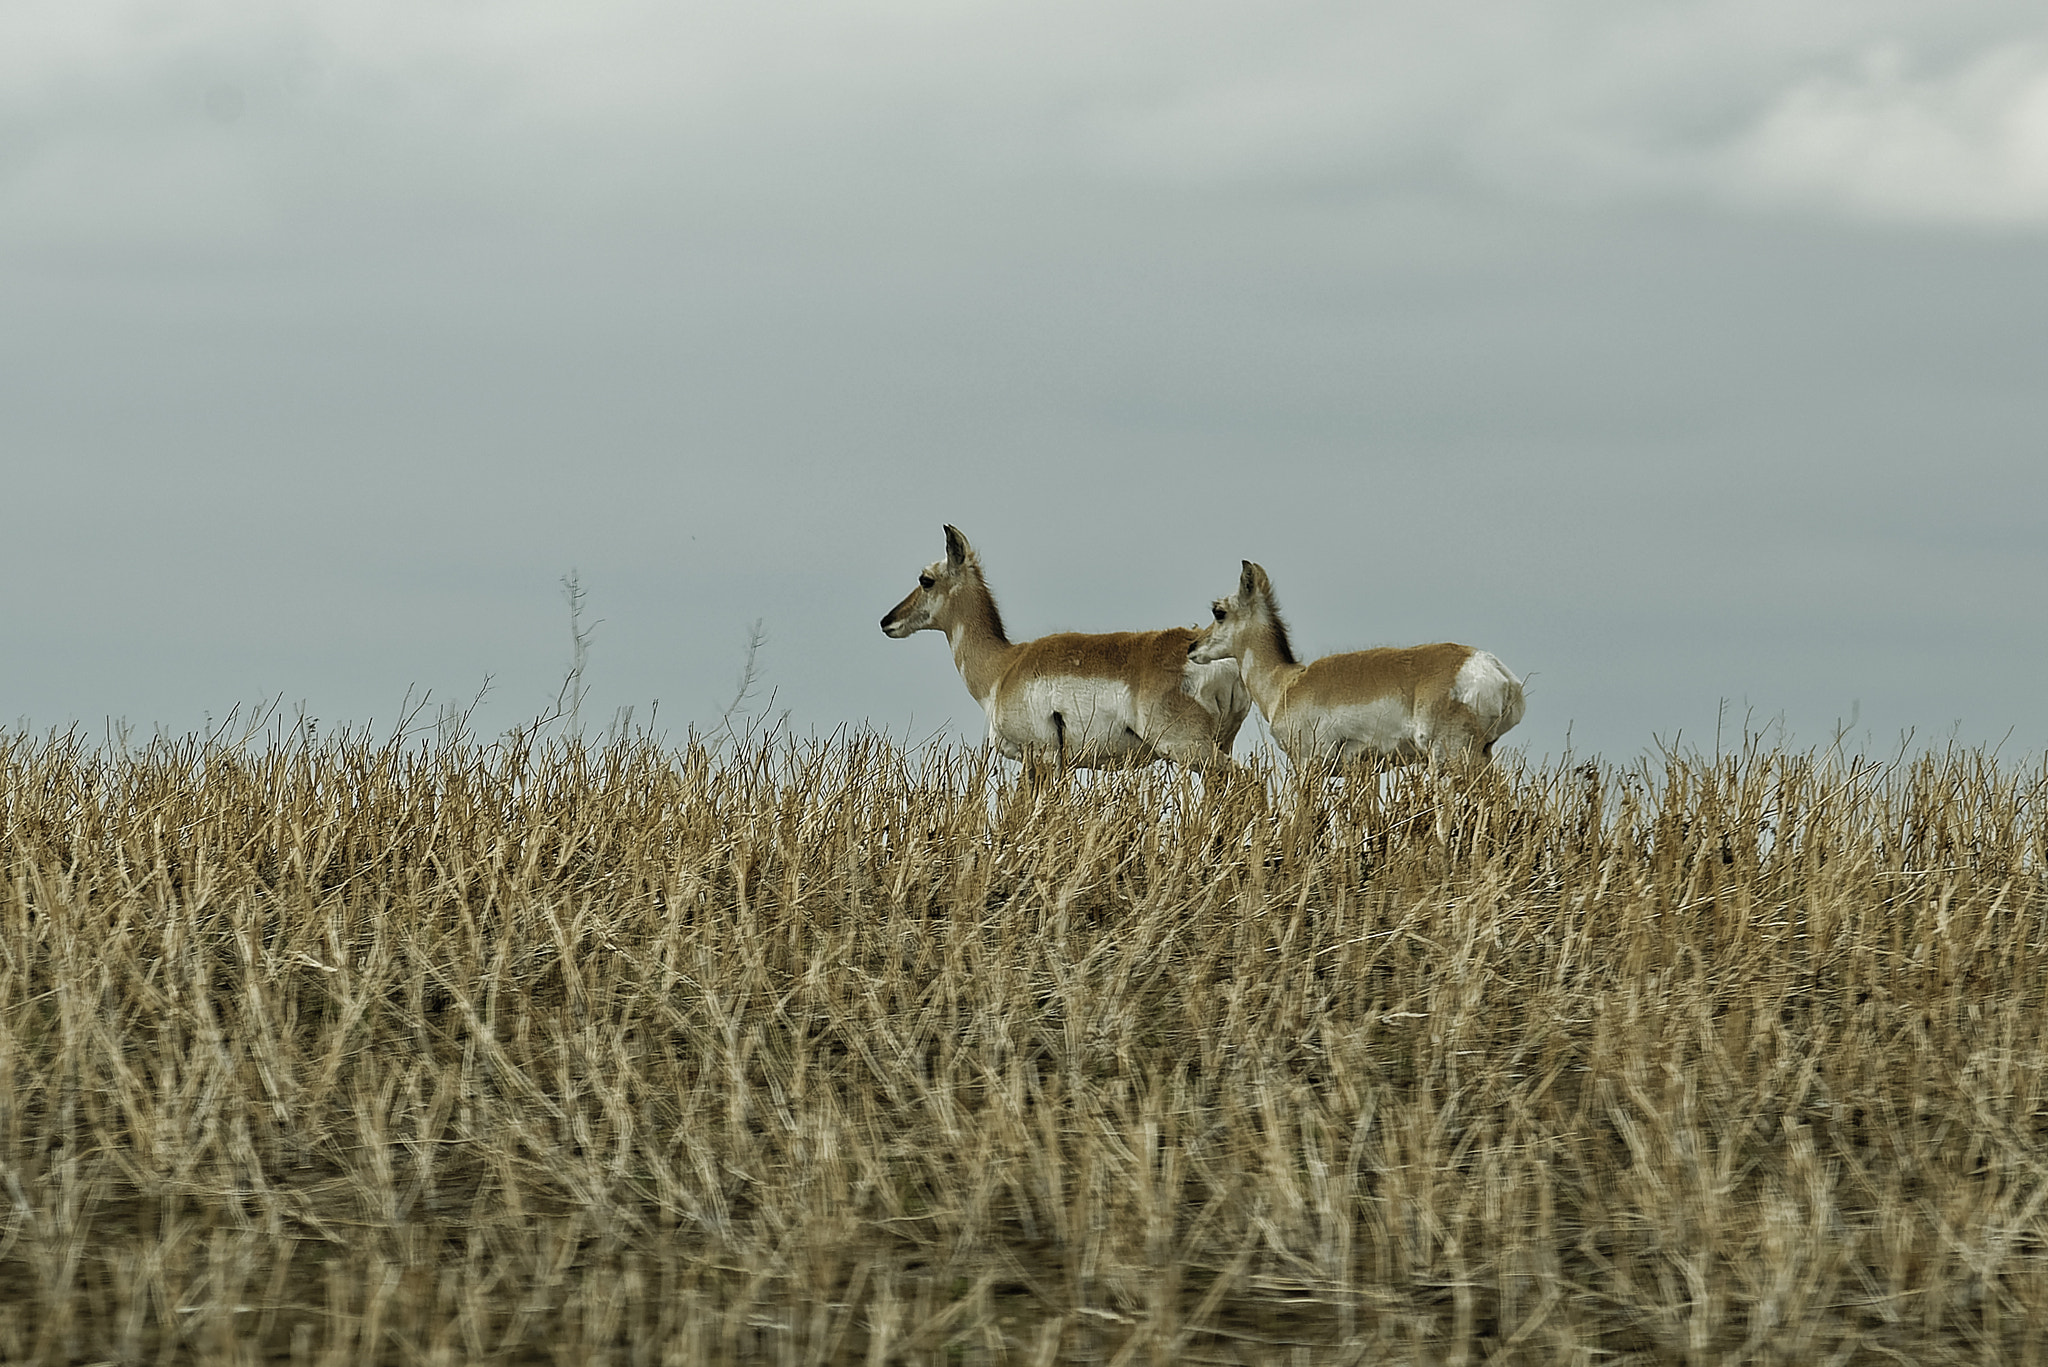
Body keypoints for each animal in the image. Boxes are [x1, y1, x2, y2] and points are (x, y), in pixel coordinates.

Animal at [880, 528, 1245, 770]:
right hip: (1219, 745)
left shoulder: (1041, 757)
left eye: (925, 580)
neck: (1005, 666)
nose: (887, 620)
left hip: (1192, 750)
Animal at [1187, 561, 1523, 766]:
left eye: (1218, 612)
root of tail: (1493, 669)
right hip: (1481, 755)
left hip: (1448, 756)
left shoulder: (1308, 764)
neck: (1286, 682)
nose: (1192, 647)